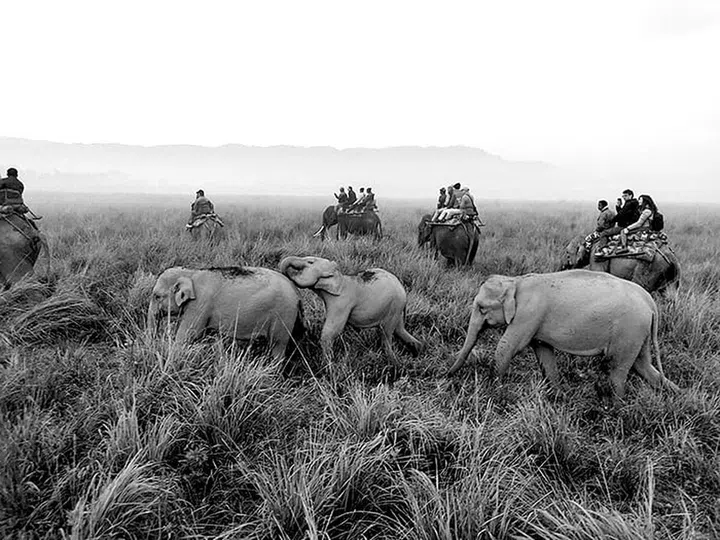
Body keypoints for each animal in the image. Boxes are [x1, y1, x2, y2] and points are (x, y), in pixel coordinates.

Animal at [146, 265, 304, 360]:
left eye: (157, 296)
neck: (191, 272)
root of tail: (297, 292)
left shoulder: (200, 304)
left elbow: (187, 335)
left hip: (284, 315)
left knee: (278, 346)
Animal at [278, 255, 422, 367]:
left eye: (310, 262)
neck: (340, 277)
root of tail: (403, 289)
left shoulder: (342, 303)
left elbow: (330, 332)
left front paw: (328, 367)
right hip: (396, 309)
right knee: (399, 330)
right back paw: (419, 350)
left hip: (394, 306)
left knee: (386, 334)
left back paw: (393, 363)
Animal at [448, 269, 679, 399]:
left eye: (481, 308)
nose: (446, 375)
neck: (515, 281)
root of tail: (650, 302)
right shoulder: (534, 322)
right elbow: (543, 352)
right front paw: (558, 397)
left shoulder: (528, 314)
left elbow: (507, 346)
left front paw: (494, 391)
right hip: (639, 333)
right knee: (643, 365)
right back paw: (677, 396)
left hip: (628, 330)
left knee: (617, 370)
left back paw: (616, 408)